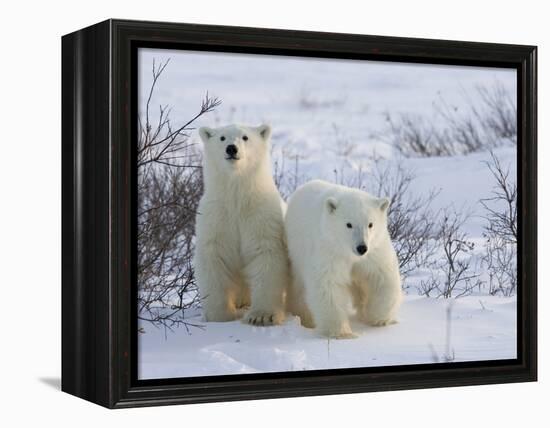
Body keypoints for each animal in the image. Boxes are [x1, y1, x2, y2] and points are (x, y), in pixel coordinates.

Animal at [194, 123, 288, 324]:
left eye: (245, 137)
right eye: (222, 137)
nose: (231, 148)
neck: (237, 197)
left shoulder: (260, 216)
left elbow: (266, 255)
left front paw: (261, 316)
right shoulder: (216, 217)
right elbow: (214, 258)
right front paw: (221, 315)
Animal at [286, 180, 404, 338]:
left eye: (370, 224)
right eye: (349, 224)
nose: (362, 247)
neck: (348, 252)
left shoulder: (374, 250)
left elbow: (382, 277)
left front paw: (378, 318)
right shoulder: (329, 251)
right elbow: (329, 284)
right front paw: (342, 332)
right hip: (297, 250)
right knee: (299, 287)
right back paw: (305, 317)